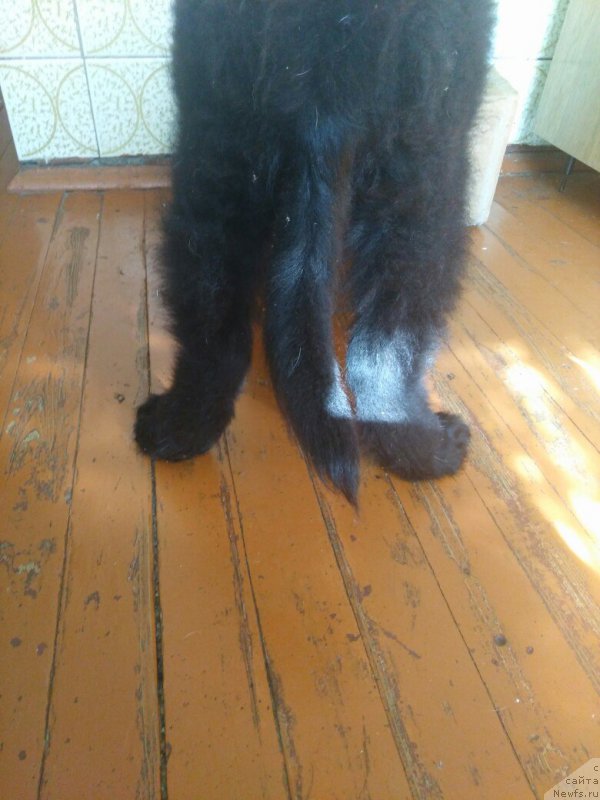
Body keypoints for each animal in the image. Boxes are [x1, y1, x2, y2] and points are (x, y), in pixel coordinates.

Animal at [135, 0, 494, 503]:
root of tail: (326, 42)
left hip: (215, 133)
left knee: (211, 311)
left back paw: (180, 426)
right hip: (428, 159)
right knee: (390, 344)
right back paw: (429, 449)